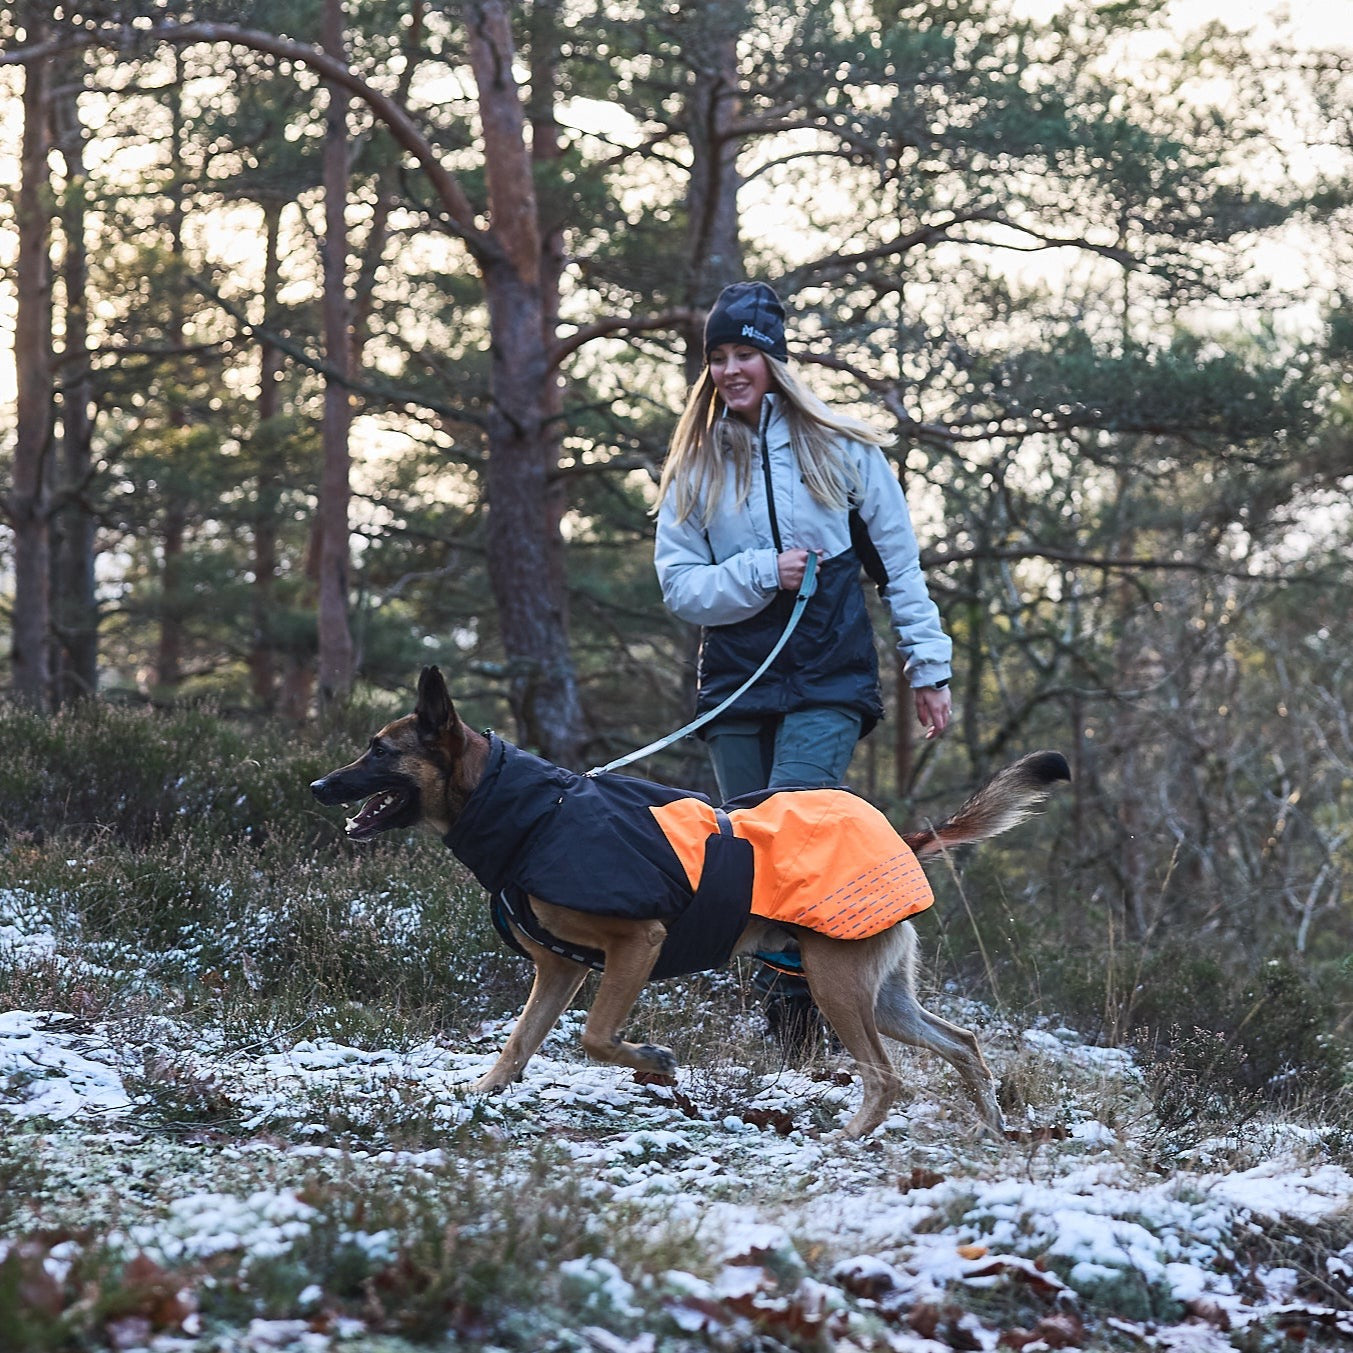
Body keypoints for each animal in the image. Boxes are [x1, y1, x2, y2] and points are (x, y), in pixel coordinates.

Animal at [313, 671, 1066, 1136]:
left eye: (378, 750)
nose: (319, 784)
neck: (533, 811)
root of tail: (903, 839)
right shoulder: (560, 968)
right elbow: (520, 1039)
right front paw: (485, 1091)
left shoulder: (635, 945)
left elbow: (594, 1037)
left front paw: (653, 1058)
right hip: (877, 993)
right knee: (963, 1043)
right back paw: (993, 1125)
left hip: (835, 985)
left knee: (884, 1077)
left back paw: (848, 1135)